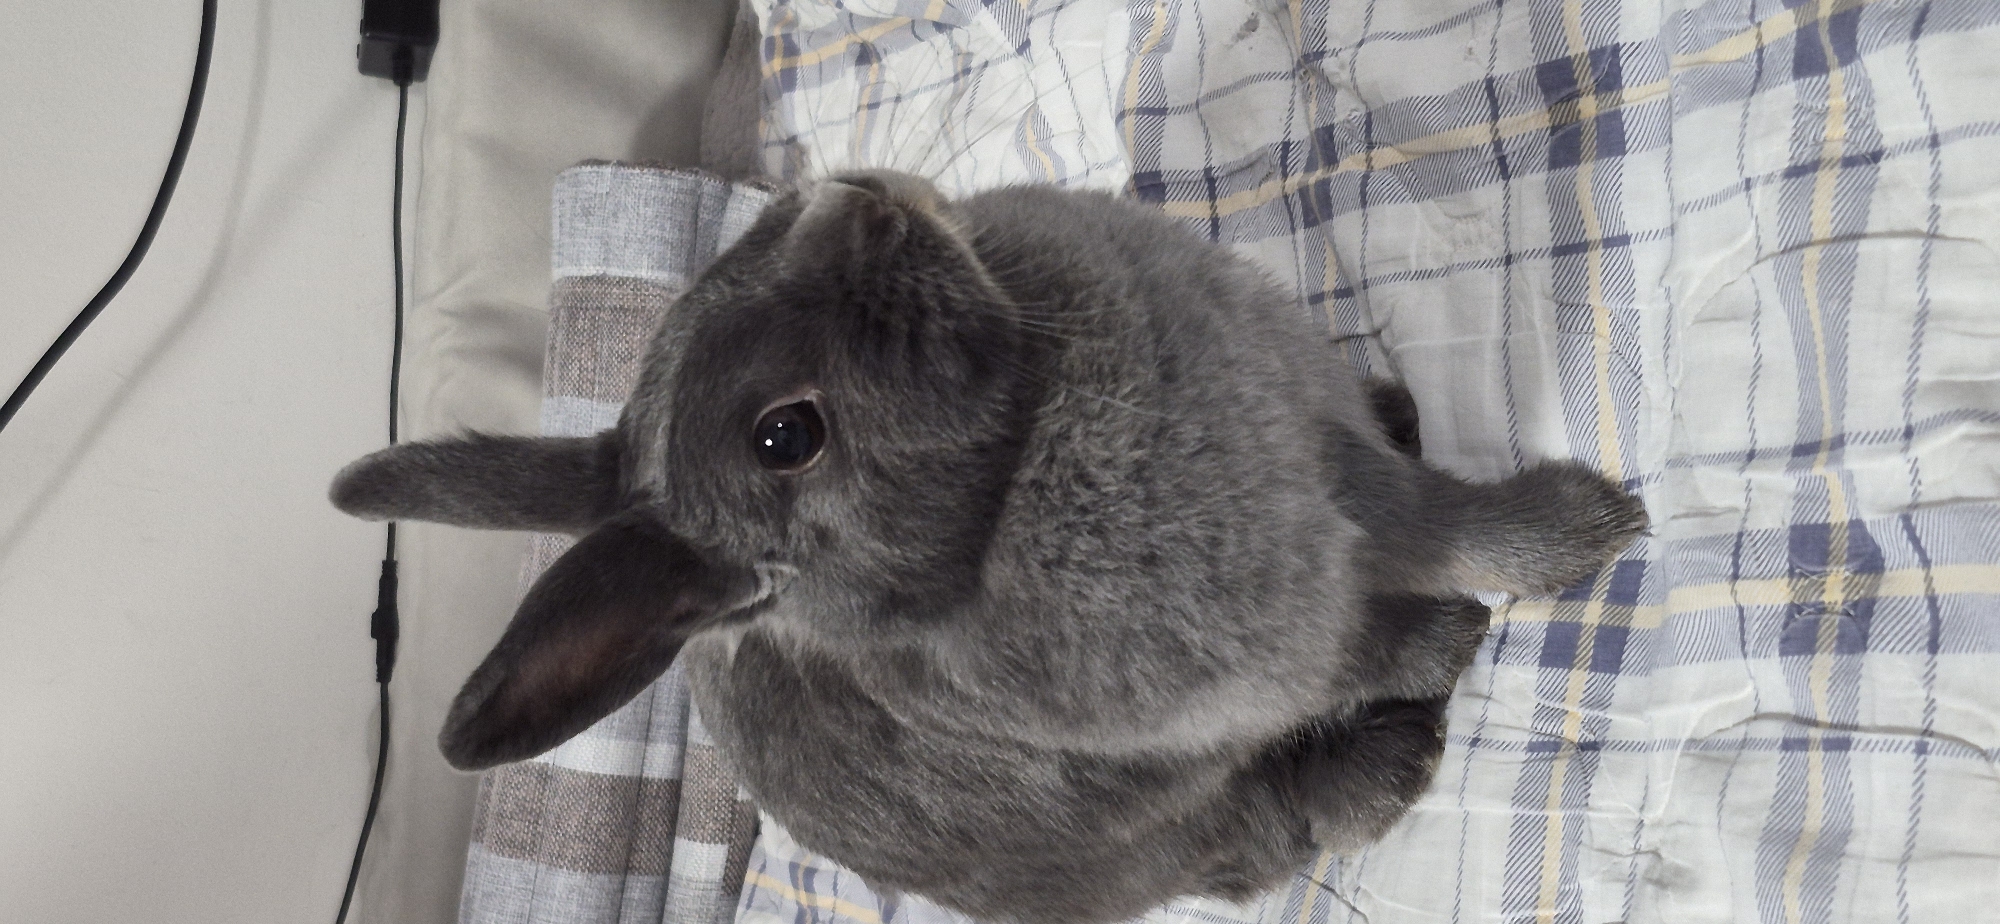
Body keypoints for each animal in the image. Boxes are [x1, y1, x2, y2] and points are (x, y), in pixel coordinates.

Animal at [330, 170, 1646, 924]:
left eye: (757, 237)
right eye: (782, 436)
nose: (855, 199)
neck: (1014, 453)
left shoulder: (1330, 465)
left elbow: (1450, 521)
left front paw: (1580, 526)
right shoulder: (1279, 645)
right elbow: (1399, 617)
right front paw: (1539, 576)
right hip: (1187, 835)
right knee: (1276, 834)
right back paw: (1395, 761)